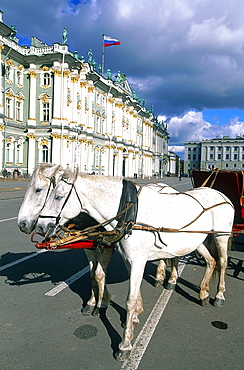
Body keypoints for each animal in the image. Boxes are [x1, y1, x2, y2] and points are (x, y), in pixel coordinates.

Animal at [34, 171, 234, 362]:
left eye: (58, 196)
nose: (41, 226)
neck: (130, 213)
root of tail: (220, 193)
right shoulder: (129, 260)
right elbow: (135, 294)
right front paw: (135, 318)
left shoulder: (137, 261)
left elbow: (130, 300)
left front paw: (125, 344)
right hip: (196, 241)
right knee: (211, 261)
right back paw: (203, 293)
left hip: (221, 236)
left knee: (223, 263)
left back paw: (219, 296)